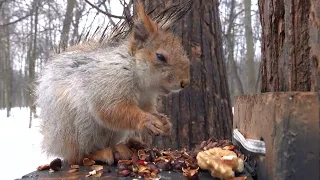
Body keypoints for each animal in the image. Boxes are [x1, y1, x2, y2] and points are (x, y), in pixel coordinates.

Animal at [35, 0, 190, 165]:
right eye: (160, 57)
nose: (185, 83)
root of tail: (53, 142)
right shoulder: (110, 81)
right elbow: (112, 109)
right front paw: (147, 120)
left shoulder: (146, 98)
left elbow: (147, 108)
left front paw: (164, 121)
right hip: (77, 129)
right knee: (77, 156)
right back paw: (100, 153)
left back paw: (129, 145)